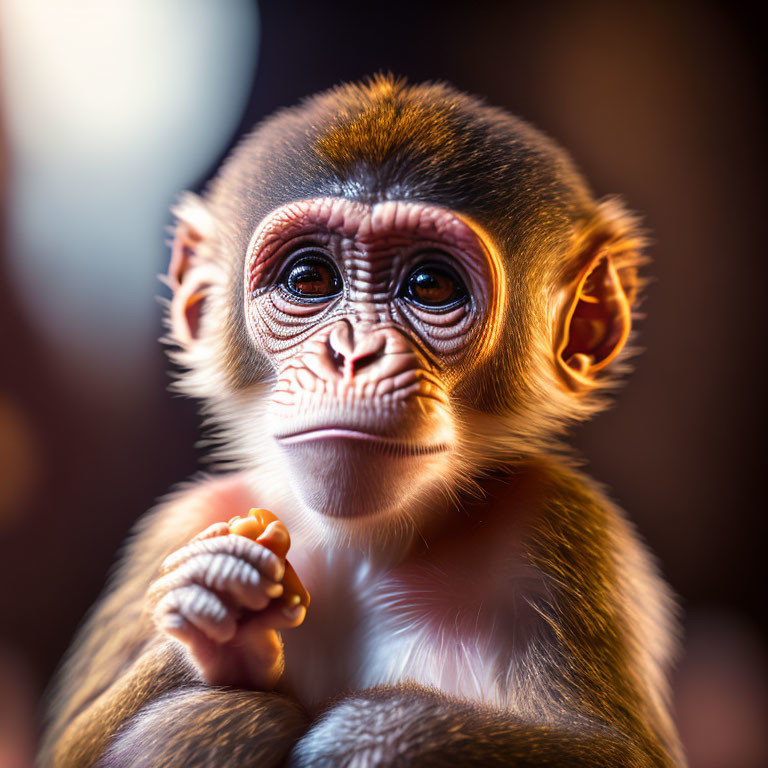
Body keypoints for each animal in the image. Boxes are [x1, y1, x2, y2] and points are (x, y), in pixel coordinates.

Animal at [39, 73, 684, 768]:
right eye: (309, 277)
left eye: (430, 285)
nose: (352, 354)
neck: (363, 548)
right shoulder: (180, 521)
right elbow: (70, 743)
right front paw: (220, 600)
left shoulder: (561, 522)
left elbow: (615, 750)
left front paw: (367, 737)